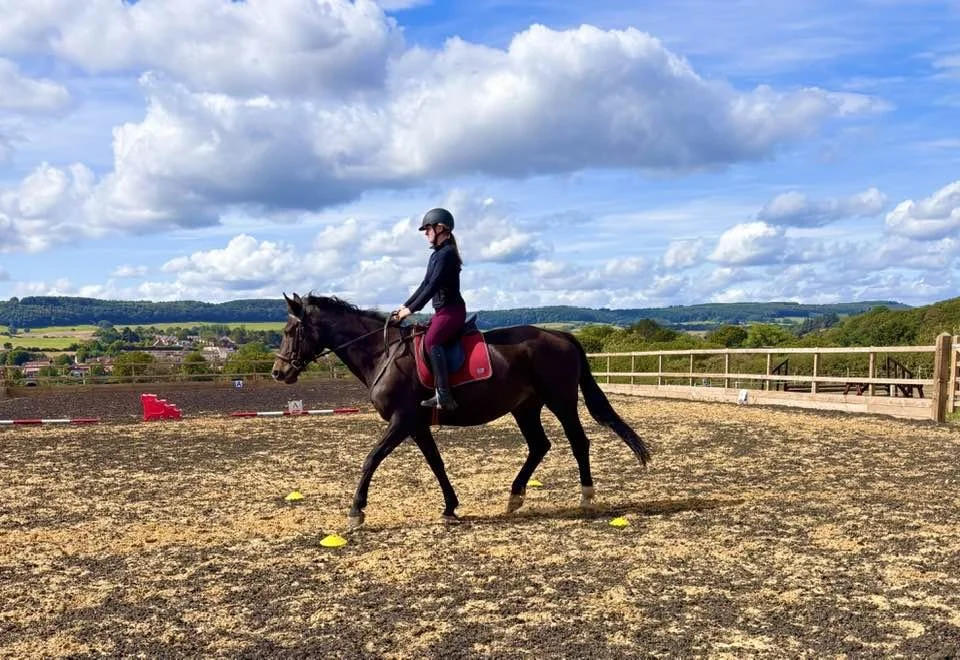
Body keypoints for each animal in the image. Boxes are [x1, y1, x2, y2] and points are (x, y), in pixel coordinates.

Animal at [271, 293, 651, 529]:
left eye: (291, 330)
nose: (279, 372)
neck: (384, 353)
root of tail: (562, 337)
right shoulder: (417, 424)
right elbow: (436, 463)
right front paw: (450, 508)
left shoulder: (402, 420)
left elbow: (371, 459)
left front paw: (355, 511)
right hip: (525, 407)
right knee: (539, 445)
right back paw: (515, 497)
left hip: (560, 401)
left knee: (578, 442)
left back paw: (586, 497)